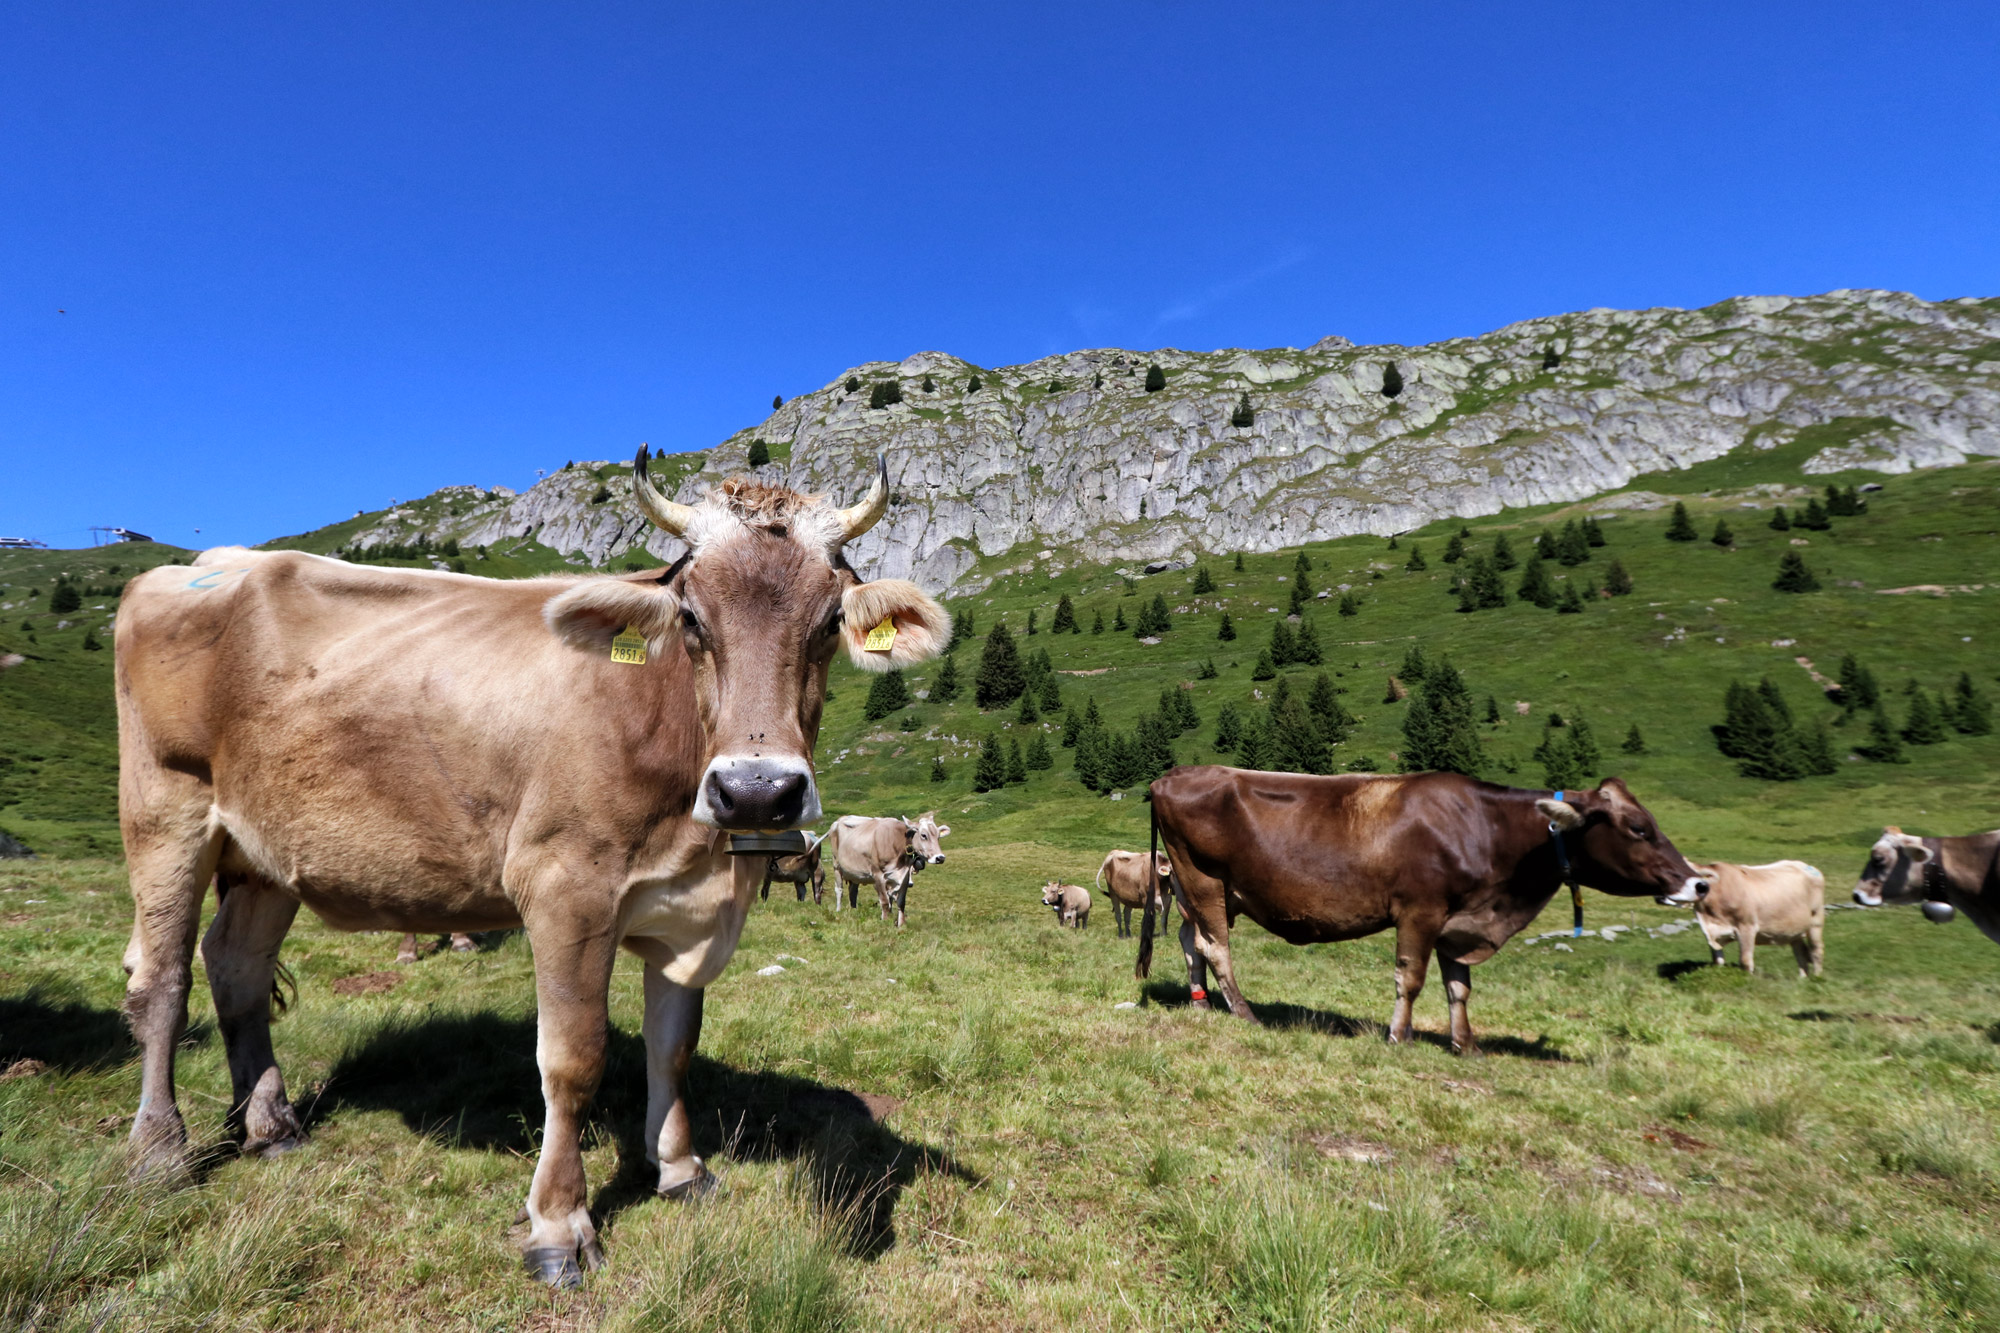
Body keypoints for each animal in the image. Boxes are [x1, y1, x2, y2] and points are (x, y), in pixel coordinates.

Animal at [113, 452, 948, 1280]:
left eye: (829, 621)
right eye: (690, 618)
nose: (756, 791)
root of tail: (202, 566)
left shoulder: (688, 912)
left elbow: (674, 1045)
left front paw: (679, 1167)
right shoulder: (565, 890)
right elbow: (573, 1059)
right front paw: (560, 1223)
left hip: (267, 853)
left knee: (236, 965)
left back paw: (270, 1123)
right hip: (166, 810)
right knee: (163, 982)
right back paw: (159, 1150)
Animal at [1144, 768, 1704, 1048]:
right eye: (1638, 828)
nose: (1698, 883)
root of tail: (1173, 774)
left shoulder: (1462, 919)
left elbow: (1459, 986)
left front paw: (1465, 1043)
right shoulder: (1421, 910)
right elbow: (1411, 977)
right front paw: (1399, 1035)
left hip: (1203, 891)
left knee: (1190, 941)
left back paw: (1201, 1002)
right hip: (1204, 880)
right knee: (1215, 946)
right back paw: (1245, 1013)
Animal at [1688, 856, 1832, 972]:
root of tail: (1807, 866)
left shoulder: (1747, 927)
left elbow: (1745, 961)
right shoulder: (1711, 932)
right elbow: (1717, 961)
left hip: (1816, 921)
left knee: (1816, 950)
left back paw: (1816, 977)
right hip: (1794, 928)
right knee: (1800, 952)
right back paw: (1802, 980)